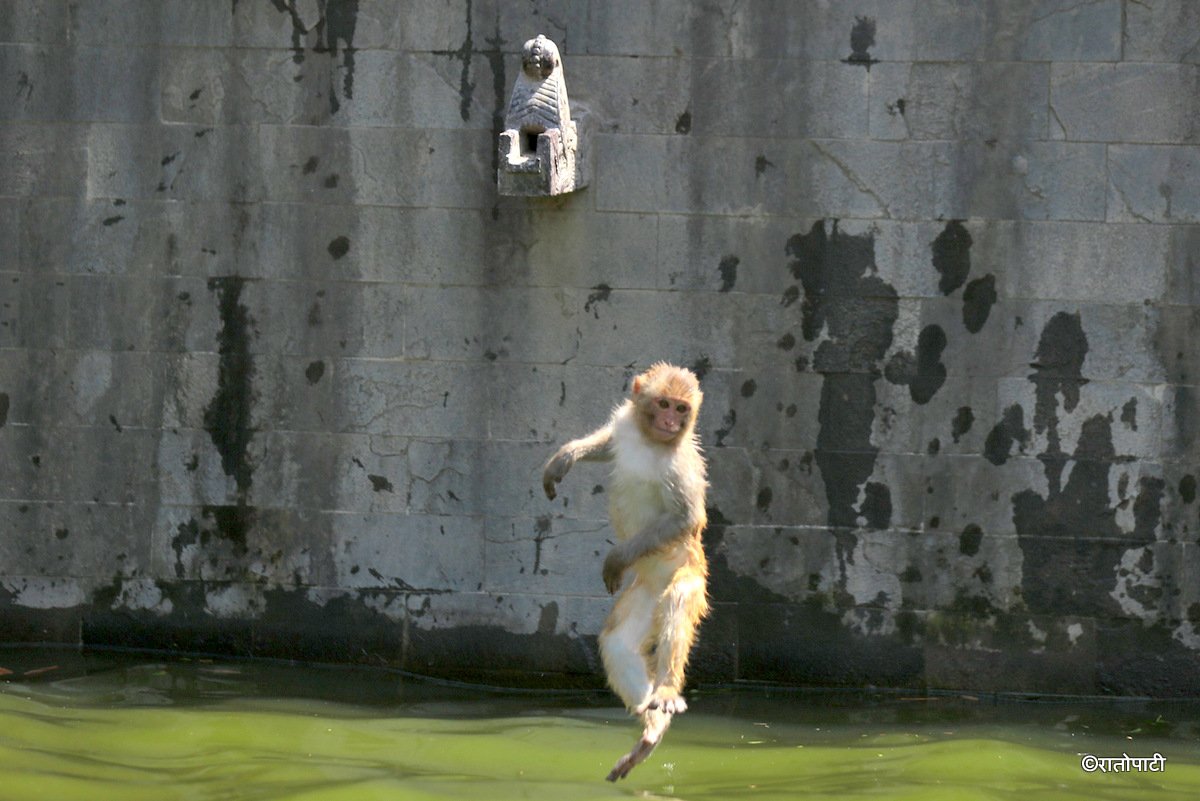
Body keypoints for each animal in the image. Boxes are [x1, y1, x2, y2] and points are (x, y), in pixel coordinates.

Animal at [542, 362, 709, 782]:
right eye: (663, 404)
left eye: (681, 409)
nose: (670, 421)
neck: (651, 442)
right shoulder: (625, 425)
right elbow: (608, 444)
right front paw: (566, 457)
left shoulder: (680, 466)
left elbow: (685, 517)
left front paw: (617, 558)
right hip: (646, 592)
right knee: (617, 642)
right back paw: (651, 731)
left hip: (688, 573)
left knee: (678, 600)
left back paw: (664, 693)